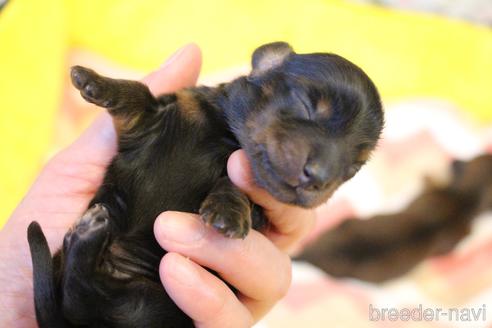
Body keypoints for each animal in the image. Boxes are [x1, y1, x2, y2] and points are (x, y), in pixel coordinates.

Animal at [26, 42, 384, 326]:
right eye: (306, 105)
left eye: (353, 166)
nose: (320, 176)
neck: (227, 136)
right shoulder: (151, 119)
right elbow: (138, 96)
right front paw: (93, 81)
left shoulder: (259, 204)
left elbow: (237, 185)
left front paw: (227, 212)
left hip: (148, 304)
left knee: (84, 294)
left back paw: (87, 235)